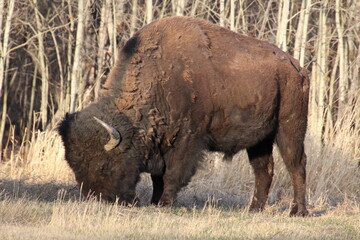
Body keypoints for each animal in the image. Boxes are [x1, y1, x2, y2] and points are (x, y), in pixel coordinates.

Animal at [58, 16, 310, 216]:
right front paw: (155, 201)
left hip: (289, 129)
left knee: (296, 165)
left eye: (103, 165)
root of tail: (296, 68)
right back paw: (254, 209)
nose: (97, 198)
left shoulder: (187, 140)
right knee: (264, 170)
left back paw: (298, 212)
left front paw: (165, 203)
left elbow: (173, 174)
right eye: (73, 164)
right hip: (259, 140)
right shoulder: (160, 144)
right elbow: (157, 177)